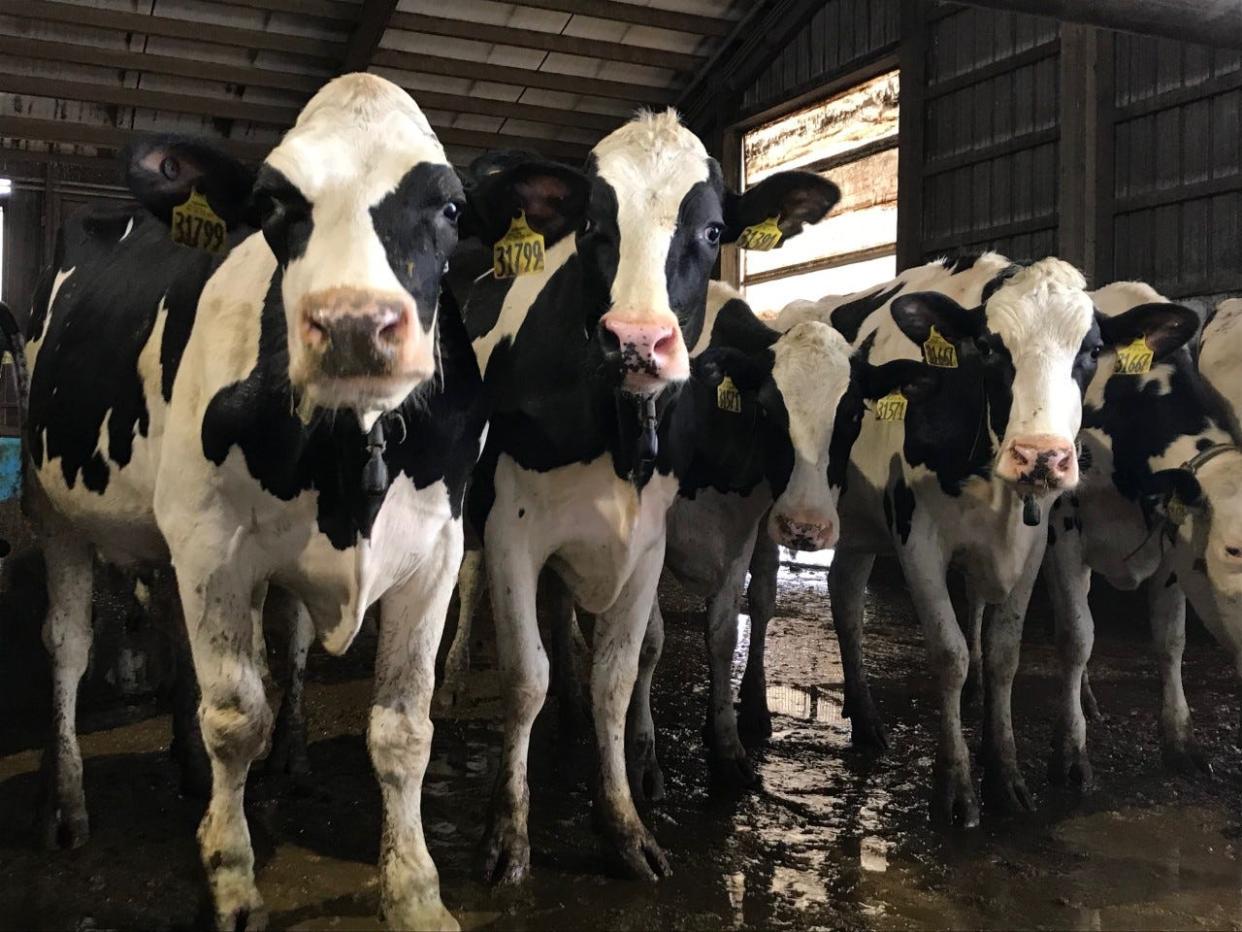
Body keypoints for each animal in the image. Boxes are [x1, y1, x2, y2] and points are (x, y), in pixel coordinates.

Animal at [25, 74, 484, 932]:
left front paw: (415, 890)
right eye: (275, 204)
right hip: (51, 506)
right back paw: (65, 804)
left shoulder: (435, 553)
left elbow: (404, 730)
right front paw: (233, 878)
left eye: (449, 207)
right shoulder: (214, 547)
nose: (354, 325)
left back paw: (184, 763)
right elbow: (237, 716)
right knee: (66, 645)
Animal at [462, 109, 839, 884]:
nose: (637, 339)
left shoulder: (647, 545)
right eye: (593, 224)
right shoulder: (513, 532)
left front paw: (624, 823)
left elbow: (621, 671)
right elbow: (524, 677)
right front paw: (506, 834)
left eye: (715, 230)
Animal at [745, 253, 1192, 825]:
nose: (1041, 456)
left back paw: (865, 719)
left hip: (857, 525)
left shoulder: (1034, 541)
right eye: (990, 347)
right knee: (761, 599)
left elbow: (1003, 654)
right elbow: (951, 653)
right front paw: (955, 784)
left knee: (845, 599)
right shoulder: (916, 534)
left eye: (1092, 351)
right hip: (771, 510)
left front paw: (1003, 774)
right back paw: (755, 711)